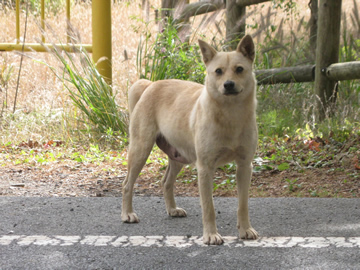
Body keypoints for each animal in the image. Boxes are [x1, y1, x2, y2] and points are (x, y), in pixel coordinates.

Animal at [122, 34, 258, 246]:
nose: (228, 84)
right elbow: (209, 207)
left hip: (179, 156)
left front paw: (245, 229)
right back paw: (127, 214)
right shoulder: (205, 168)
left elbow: (243, 204)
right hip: (140, 150)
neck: (230, 114)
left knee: (166, 182)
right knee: (127, 184)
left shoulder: (245, 166)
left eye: (239, 69)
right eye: (218, 71)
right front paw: (211, 235)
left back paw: (172, 209)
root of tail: (151, 84)